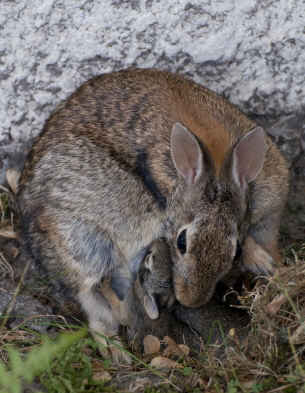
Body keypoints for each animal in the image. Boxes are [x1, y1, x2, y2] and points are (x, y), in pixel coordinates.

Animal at [16, 67, 288, 362]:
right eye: (181, 242)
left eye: (234, 251)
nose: (191, 299)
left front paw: (267, 264)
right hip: (83, 237)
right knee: (94, 300)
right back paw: (117, 350)